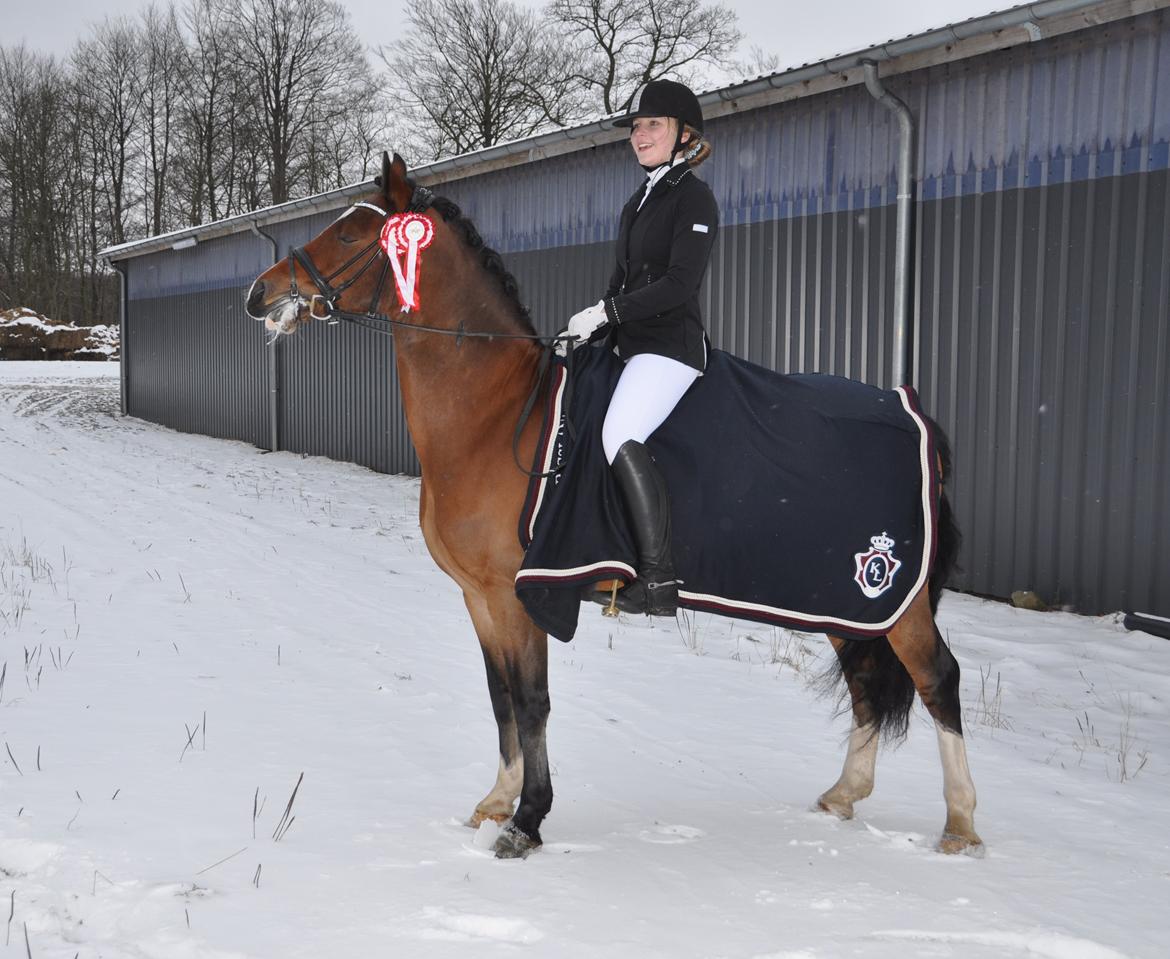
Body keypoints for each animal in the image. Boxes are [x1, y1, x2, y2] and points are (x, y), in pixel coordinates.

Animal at [249, 152, 987, 860]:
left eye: (350, 232)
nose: (260, 294)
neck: (496, 413)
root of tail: (912, 413)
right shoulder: (480, 596)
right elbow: (500, 698)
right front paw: (496, 802)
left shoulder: (519, 593)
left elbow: (532, 702)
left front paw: (527, 821)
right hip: (841, 598)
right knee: (866, 678)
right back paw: (843, 794)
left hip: (891, 596)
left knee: (938, 677)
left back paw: (960, 824)